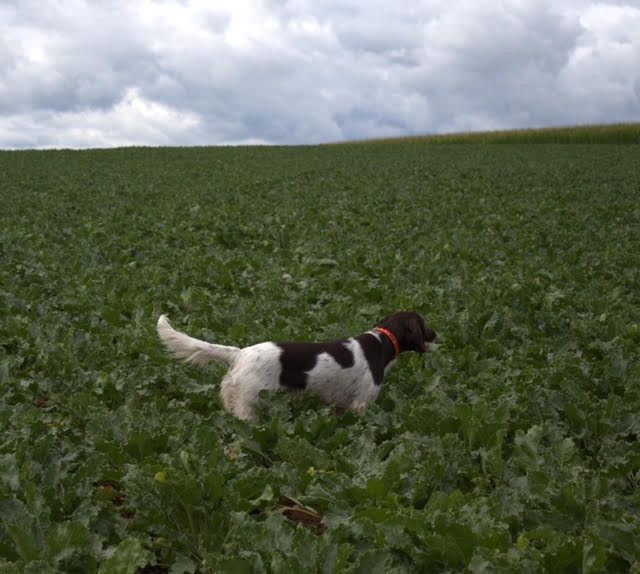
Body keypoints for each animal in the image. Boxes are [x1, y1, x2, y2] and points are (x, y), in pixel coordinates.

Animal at [156, 310, 436, 424]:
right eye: (424, 324)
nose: (437, 334)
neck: (381, 343)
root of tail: (241, 354)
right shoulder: (361, 404)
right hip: (249, 407)